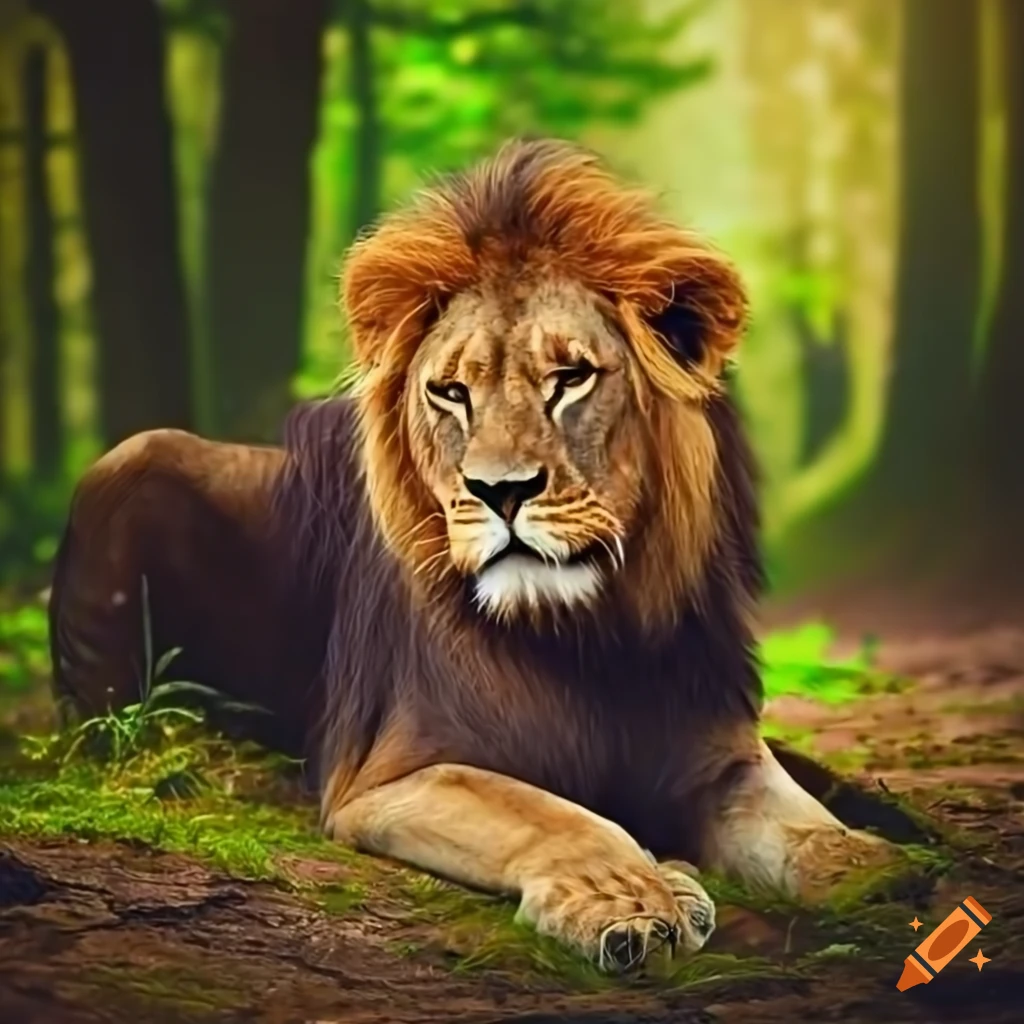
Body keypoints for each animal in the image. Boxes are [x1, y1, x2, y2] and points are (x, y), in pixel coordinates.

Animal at [49, 138, 895, 971]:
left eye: (571, 378)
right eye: (451, 392)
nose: (500, 491)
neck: (591, 635)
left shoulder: (717, 756)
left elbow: (812, 838)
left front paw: (883, 874)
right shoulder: (387, 775)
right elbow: (554, 815)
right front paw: (631, 899)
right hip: (133, 459)